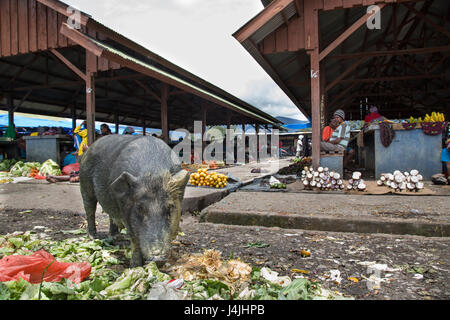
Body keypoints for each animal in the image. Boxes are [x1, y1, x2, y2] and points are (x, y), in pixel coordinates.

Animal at [79, 135, 188, 268]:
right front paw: (135, 266)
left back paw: (116, 237)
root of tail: (88, 149)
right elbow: (134, 239)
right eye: (140, 208)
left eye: (170, 207)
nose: (157, 257)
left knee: (111, 216)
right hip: (84, 184)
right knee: (90, 210)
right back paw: (93, 237)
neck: (153, 172)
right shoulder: (125, 210)